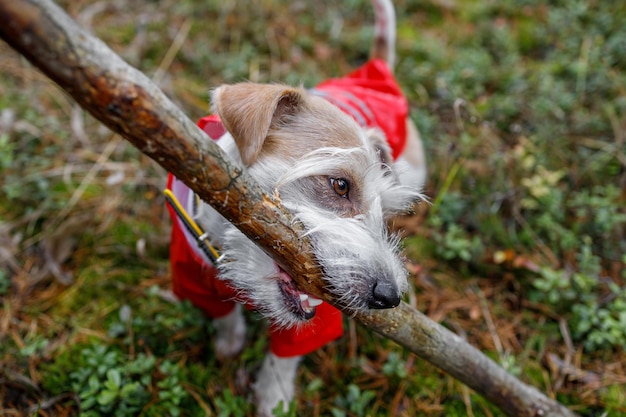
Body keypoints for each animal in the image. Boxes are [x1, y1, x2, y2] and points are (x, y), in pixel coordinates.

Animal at [165, 1, 424, 414]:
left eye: (383, 212)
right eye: (340, 185)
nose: (389, 297)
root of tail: (376, 68)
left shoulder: (316, 320)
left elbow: (281, 361)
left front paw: (273, 401)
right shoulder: (191, 275)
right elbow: (224, 316)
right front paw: (228, 345)